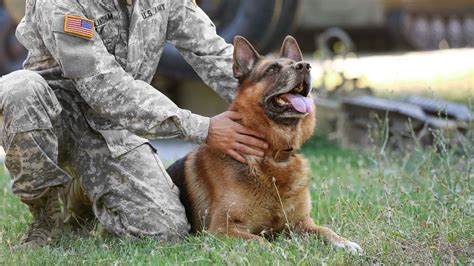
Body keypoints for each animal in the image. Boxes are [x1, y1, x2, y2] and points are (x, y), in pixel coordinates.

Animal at [168, 36, 362, 255]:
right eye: (272, 69)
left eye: (298, 64)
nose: (305, 66)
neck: (272, 156)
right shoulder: (221, 229)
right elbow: (260, 241)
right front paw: (279, 252)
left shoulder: (302, 223)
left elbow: (326, 230)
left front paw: (344, 242)